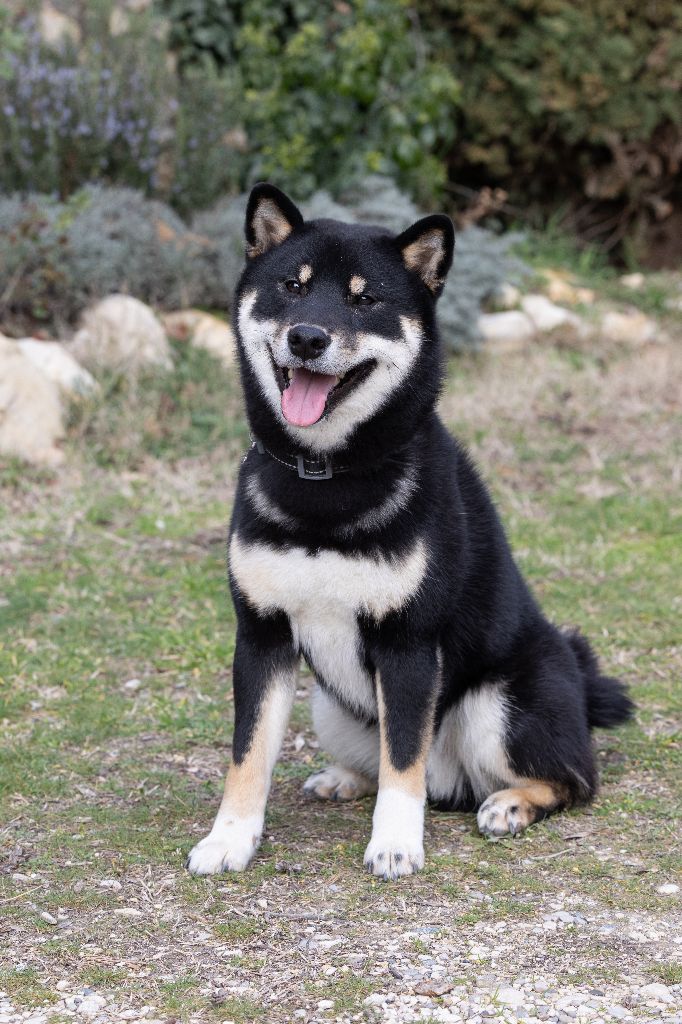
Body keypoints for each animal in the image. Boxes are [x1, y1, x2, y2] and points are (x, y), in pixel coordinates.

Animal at [186, 182, 633, 880]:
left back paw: (509, 804)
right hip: (330, 705)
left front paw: (395, 844)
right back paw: (343, 778)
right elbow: (248, 755)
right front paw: (230, 837)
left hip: (496, 705)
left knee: (574, 780)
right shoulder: (262, 636)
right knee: (383, 761)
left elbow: (404, 765)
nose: (307, 337)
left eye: (365, 299)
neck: (330, 477)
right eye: (292, 285)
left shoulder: (408, 644)